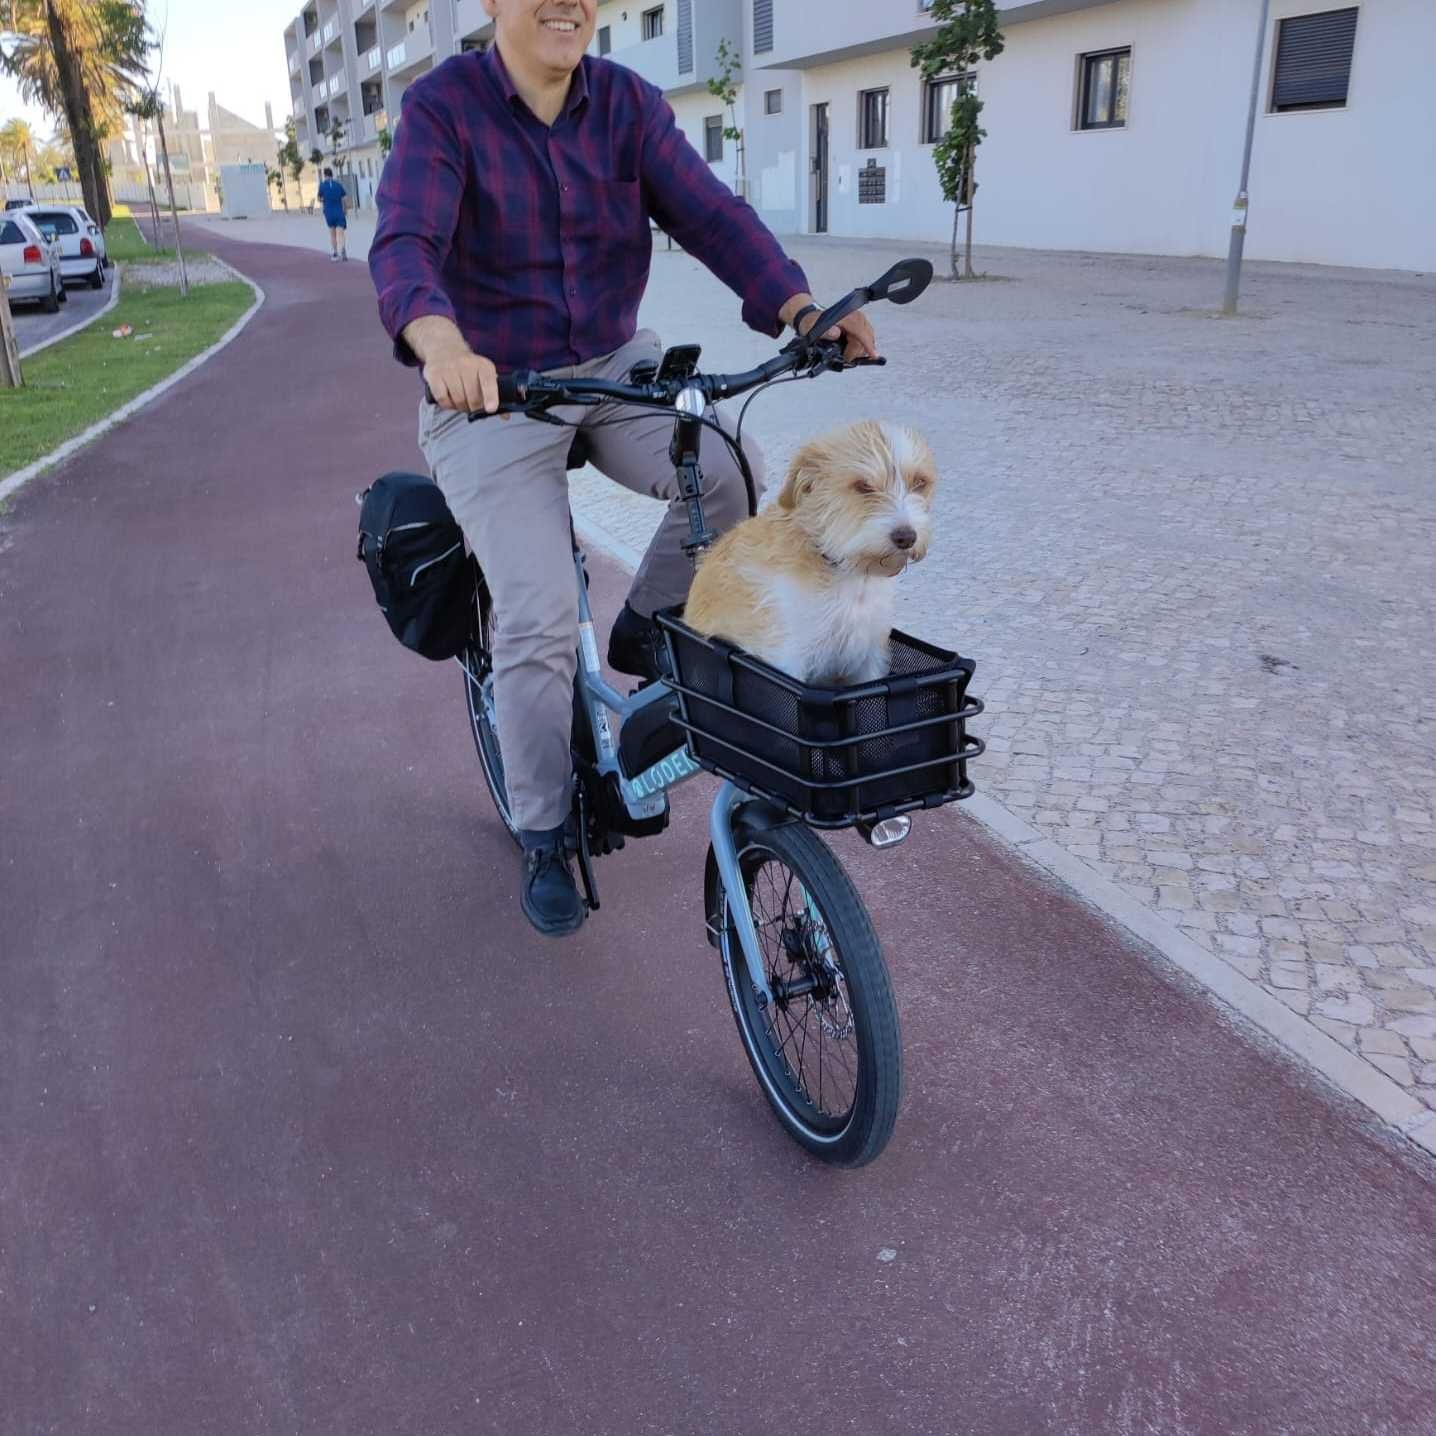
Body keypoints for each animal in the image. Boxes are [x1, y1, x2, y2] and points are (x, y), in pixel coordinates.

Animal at [686, 419, 942, 686]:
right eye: (863, 486)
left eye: (920, 482)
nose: (906, 537)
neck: (845, 571)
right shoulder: (787, 659)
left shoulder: (869, 658)